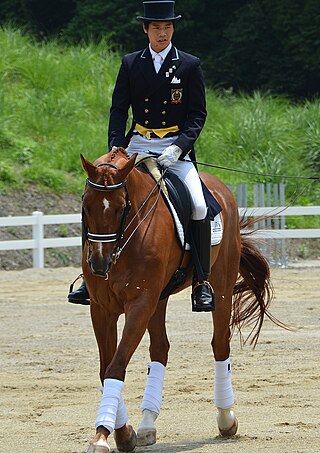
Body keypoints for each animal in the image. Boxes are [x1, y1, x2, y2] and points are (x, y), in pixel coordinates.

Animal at [80, 148, 272, 452]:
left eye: (122, 207)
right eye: (86, 205)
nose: (99, 264)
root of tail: (220, 188)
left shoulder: (140, 303)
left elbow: (117, 366)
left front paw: (102, 435)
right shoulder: (102, 309)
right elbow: (105, 369)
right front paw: (124, 433)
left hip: (221, 285)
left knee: (220, 344)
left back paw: (226, 419)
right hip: (158, 299)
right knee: (160, 348)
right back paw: (148, 424)